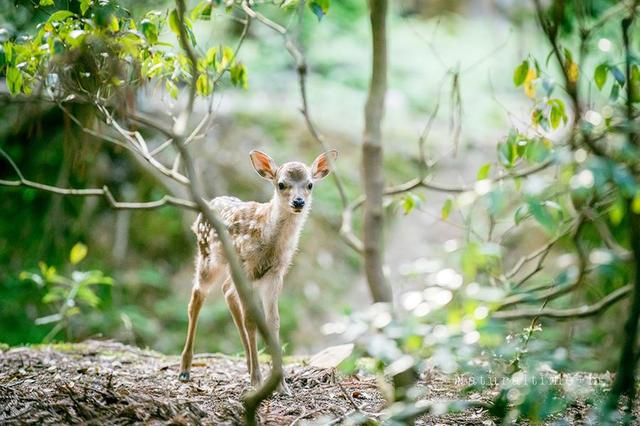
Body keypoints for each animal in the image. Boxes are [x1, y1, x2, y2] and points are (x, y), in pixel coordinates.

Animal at [178, 149, 338, 392]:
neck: (268, 241)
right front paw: (257, 381)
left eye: (310, 184)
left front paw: (281, 384)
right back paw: (185, 369)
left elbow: (273, 322)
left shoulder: (275, 273)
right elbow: (251, 321)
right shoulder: (244, 266)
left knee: (227, 291)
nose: (298, 201)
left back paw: (247, 364)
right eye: (281, 184)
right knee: (197, 297)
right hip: (208, 256)